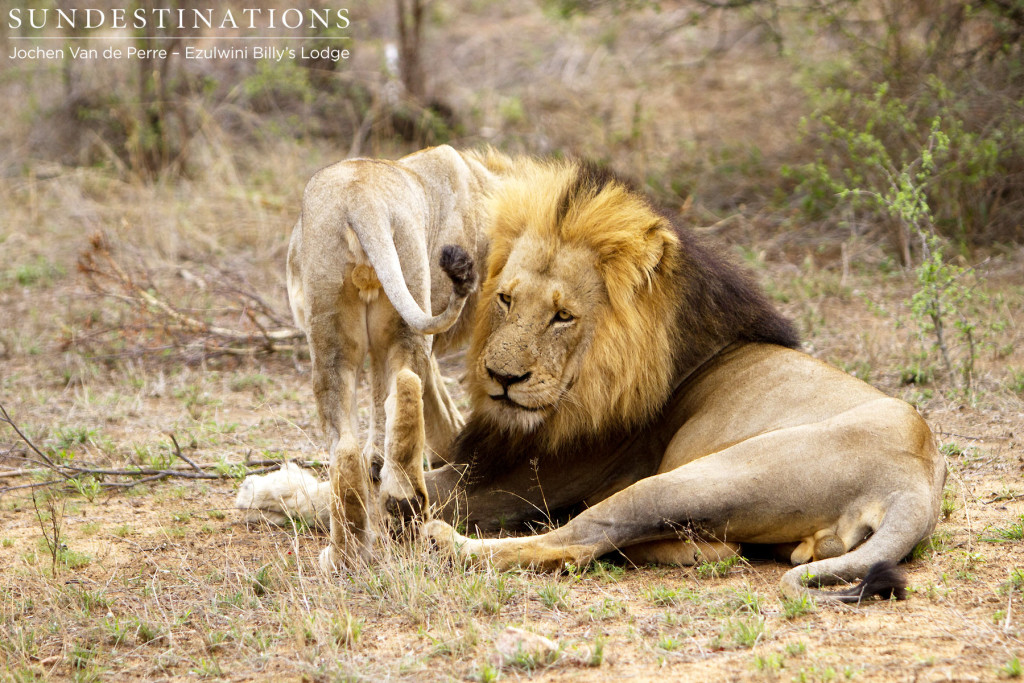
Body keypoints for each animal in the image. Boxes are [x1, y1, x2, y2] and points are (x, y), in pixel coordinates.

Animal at [237, 153, 942, 598]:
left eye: (563, 317)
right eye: (505, 300)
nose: (501, 378)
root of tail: (912, 479)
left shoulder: (517, 481)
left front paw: (285, 495)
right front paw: (275, 488)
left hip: (693, 478)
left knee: (573, 541)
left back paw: (444, 540)